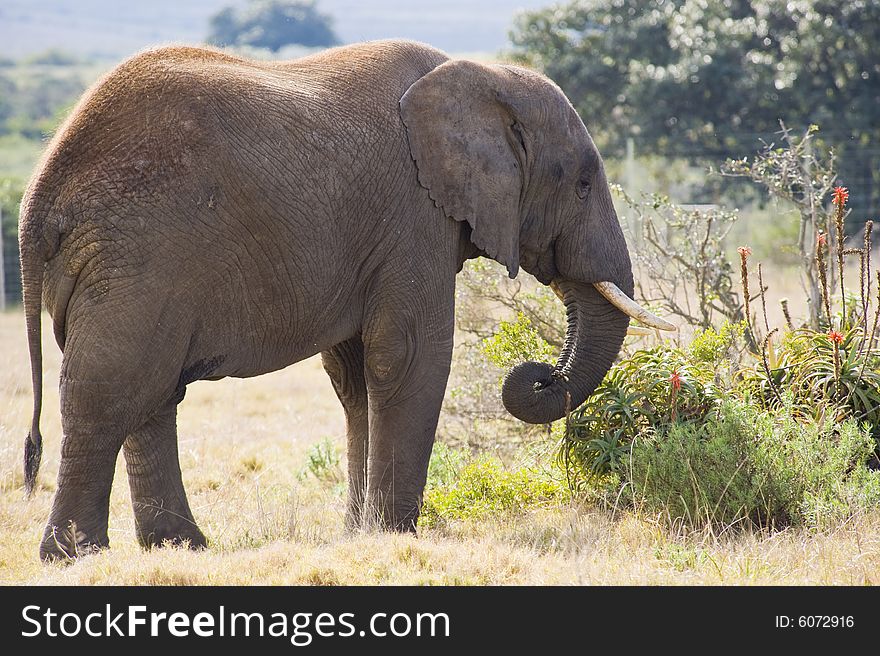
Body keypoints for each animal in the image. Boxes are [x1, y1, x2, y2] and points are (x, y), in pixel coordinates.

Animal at [18, 37, 668, 560]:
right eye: (581, 184)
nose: (539, 376)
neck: (483, 78)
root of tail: (38, 197)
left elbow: (356, 375)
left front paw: (362, 533)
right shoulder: (414, 215)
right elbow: (408, 357)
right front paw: (395, 535)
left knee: (151, 394)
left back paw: (180, 548)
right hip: (135, 259)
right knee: (109, 392)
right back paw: (75, 556)